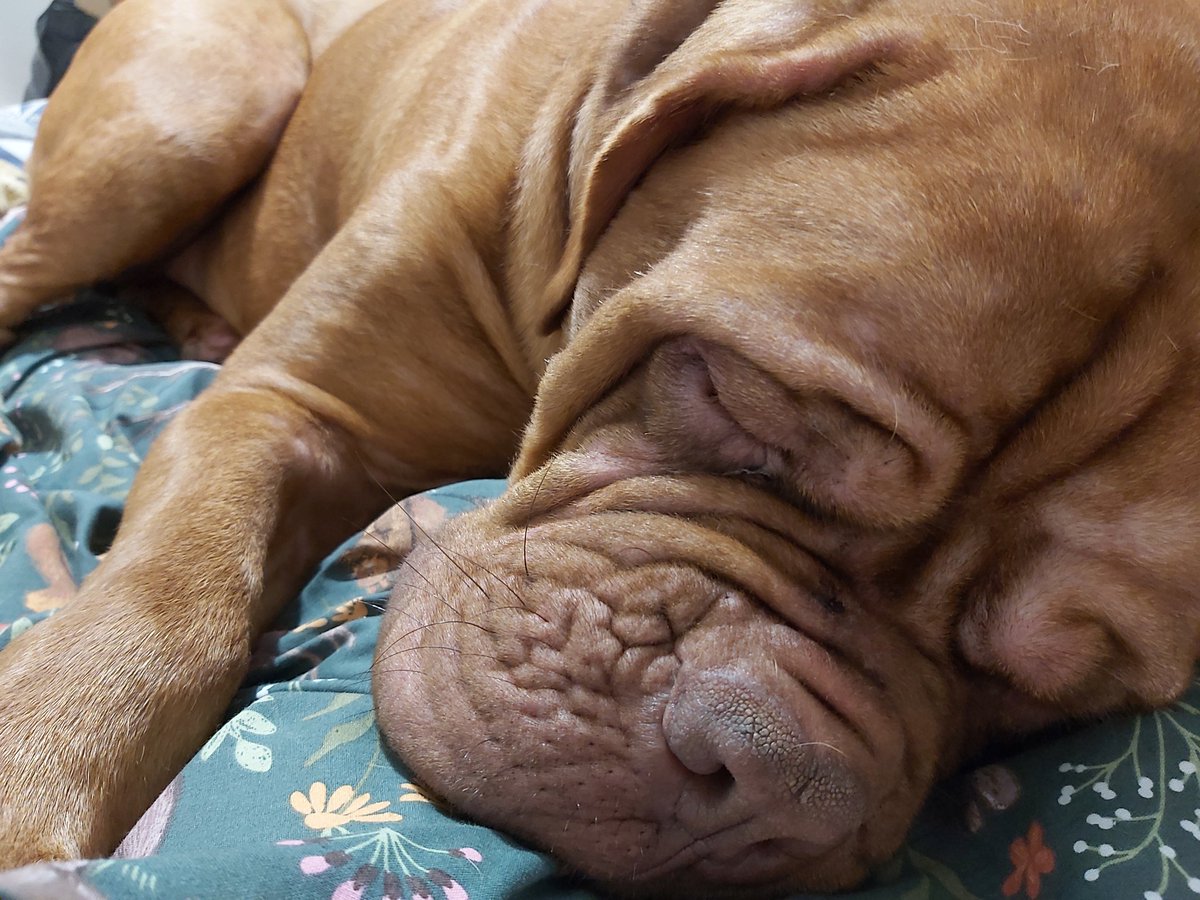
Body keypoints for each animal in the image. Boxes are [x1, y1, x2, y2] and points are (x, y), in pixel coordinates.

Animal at [2, 0, 1200, 897]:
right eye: (742, 397)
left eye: (1057, 681)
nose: (774, 768)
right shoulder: (282, 405)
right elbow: (161, 602)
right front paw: (34, 784)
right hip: (188, 116)